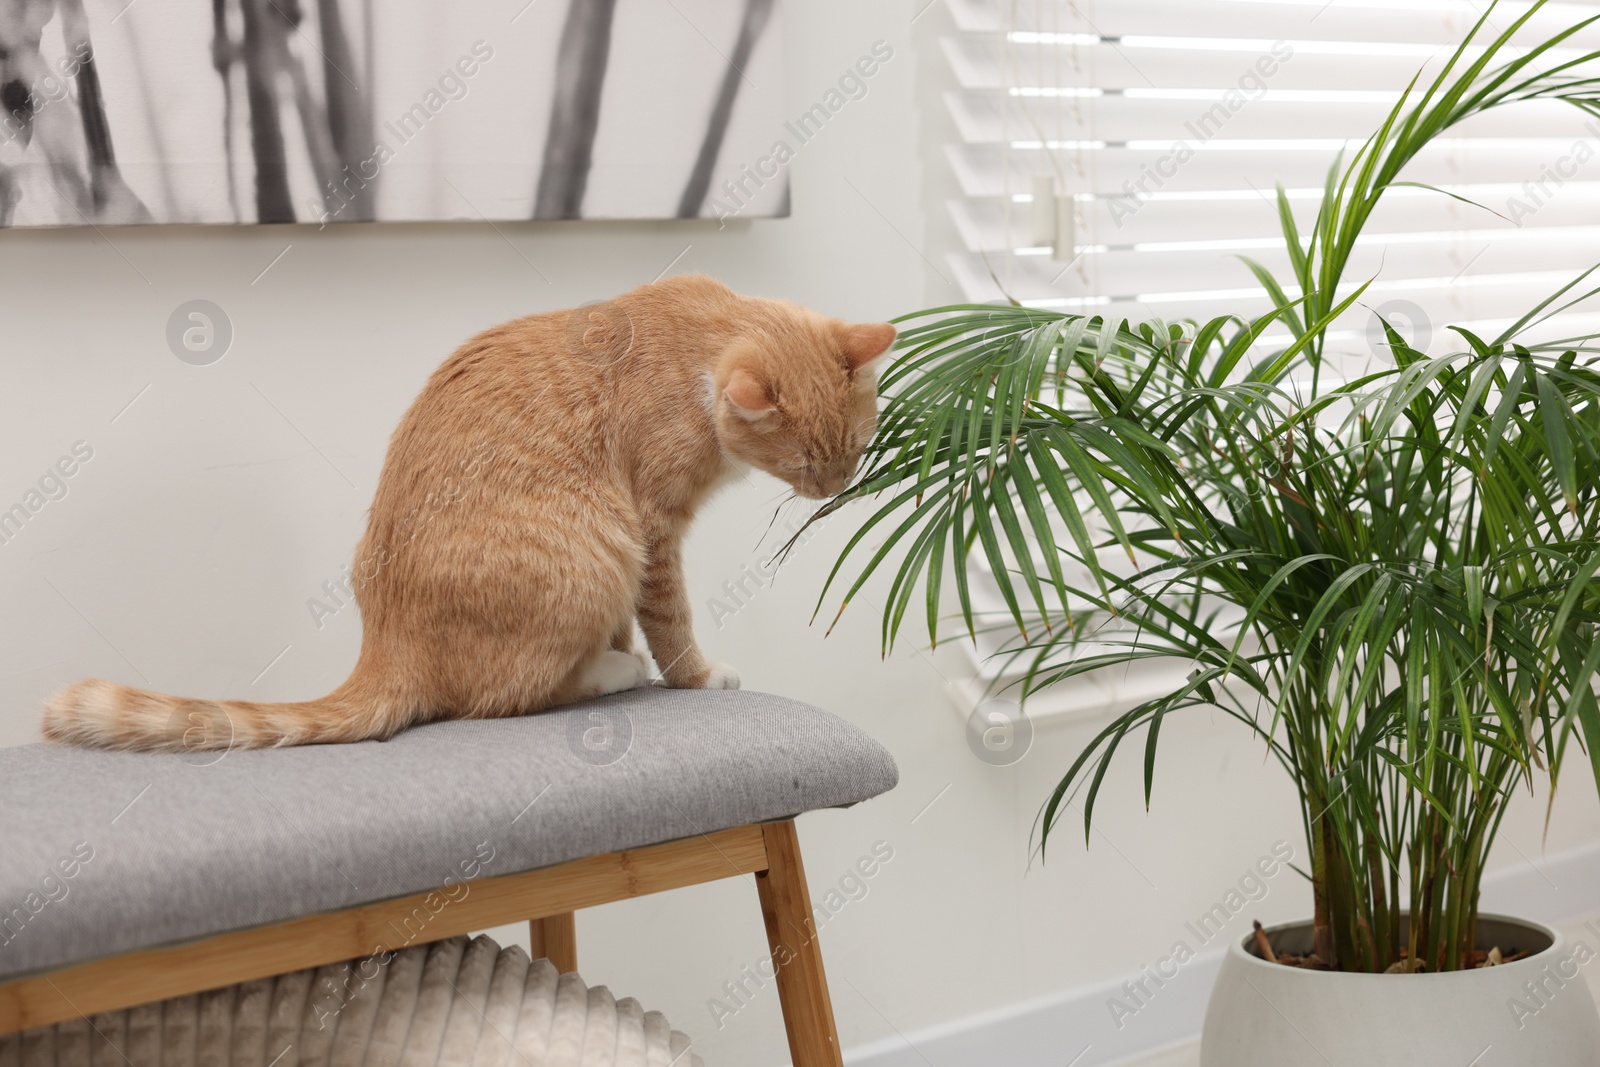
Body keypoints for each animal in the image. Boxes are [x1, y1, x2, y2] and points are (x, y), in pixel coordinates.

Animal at [43, 279, 896, 755]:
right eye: (805, 465)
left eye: (855, 448)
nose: (835, 487)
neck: (694, 339)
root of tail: (384, 643)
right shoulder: (652, 530)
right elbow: (672, 621)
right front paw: (693, 673)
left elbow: (634, 620)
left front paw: (630, 649)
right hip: (596, 547)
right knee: (508, 696)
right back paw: (612, 672)